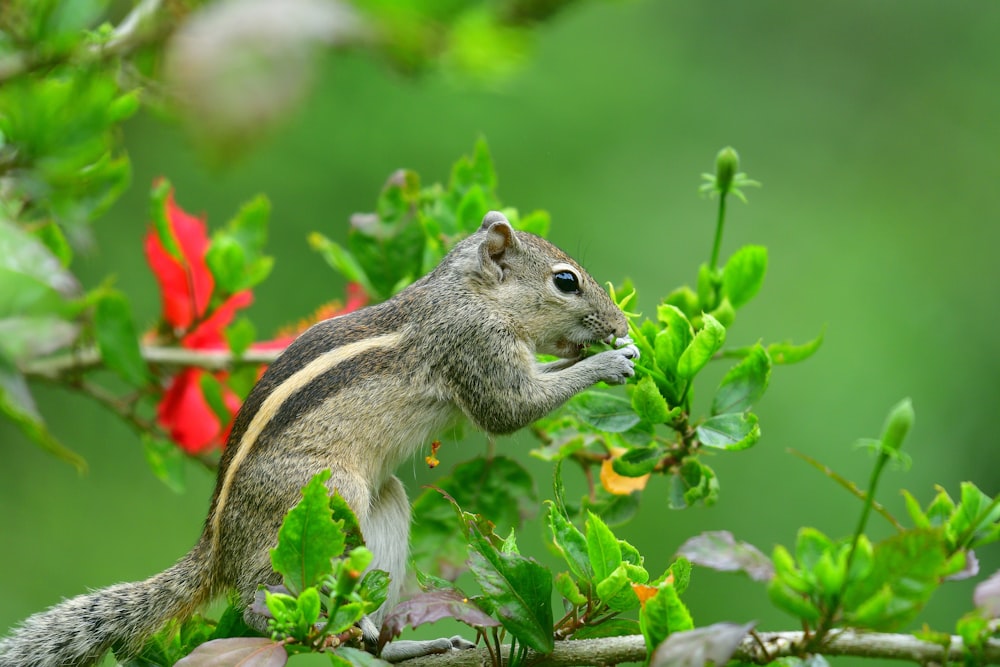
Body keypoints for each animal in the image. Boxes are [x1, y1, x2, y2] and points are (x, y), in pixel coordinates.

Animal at [0, 211, 640, 664]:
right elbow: (511, 409)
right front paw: (610, 362)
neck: (468, 290)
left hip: (380, 509)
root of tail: (217, 549)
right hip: (324, 495)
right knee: (256, 599)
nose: (620, 324)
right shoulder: (475, 345)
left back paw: (403, 643)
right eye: (566, 282)